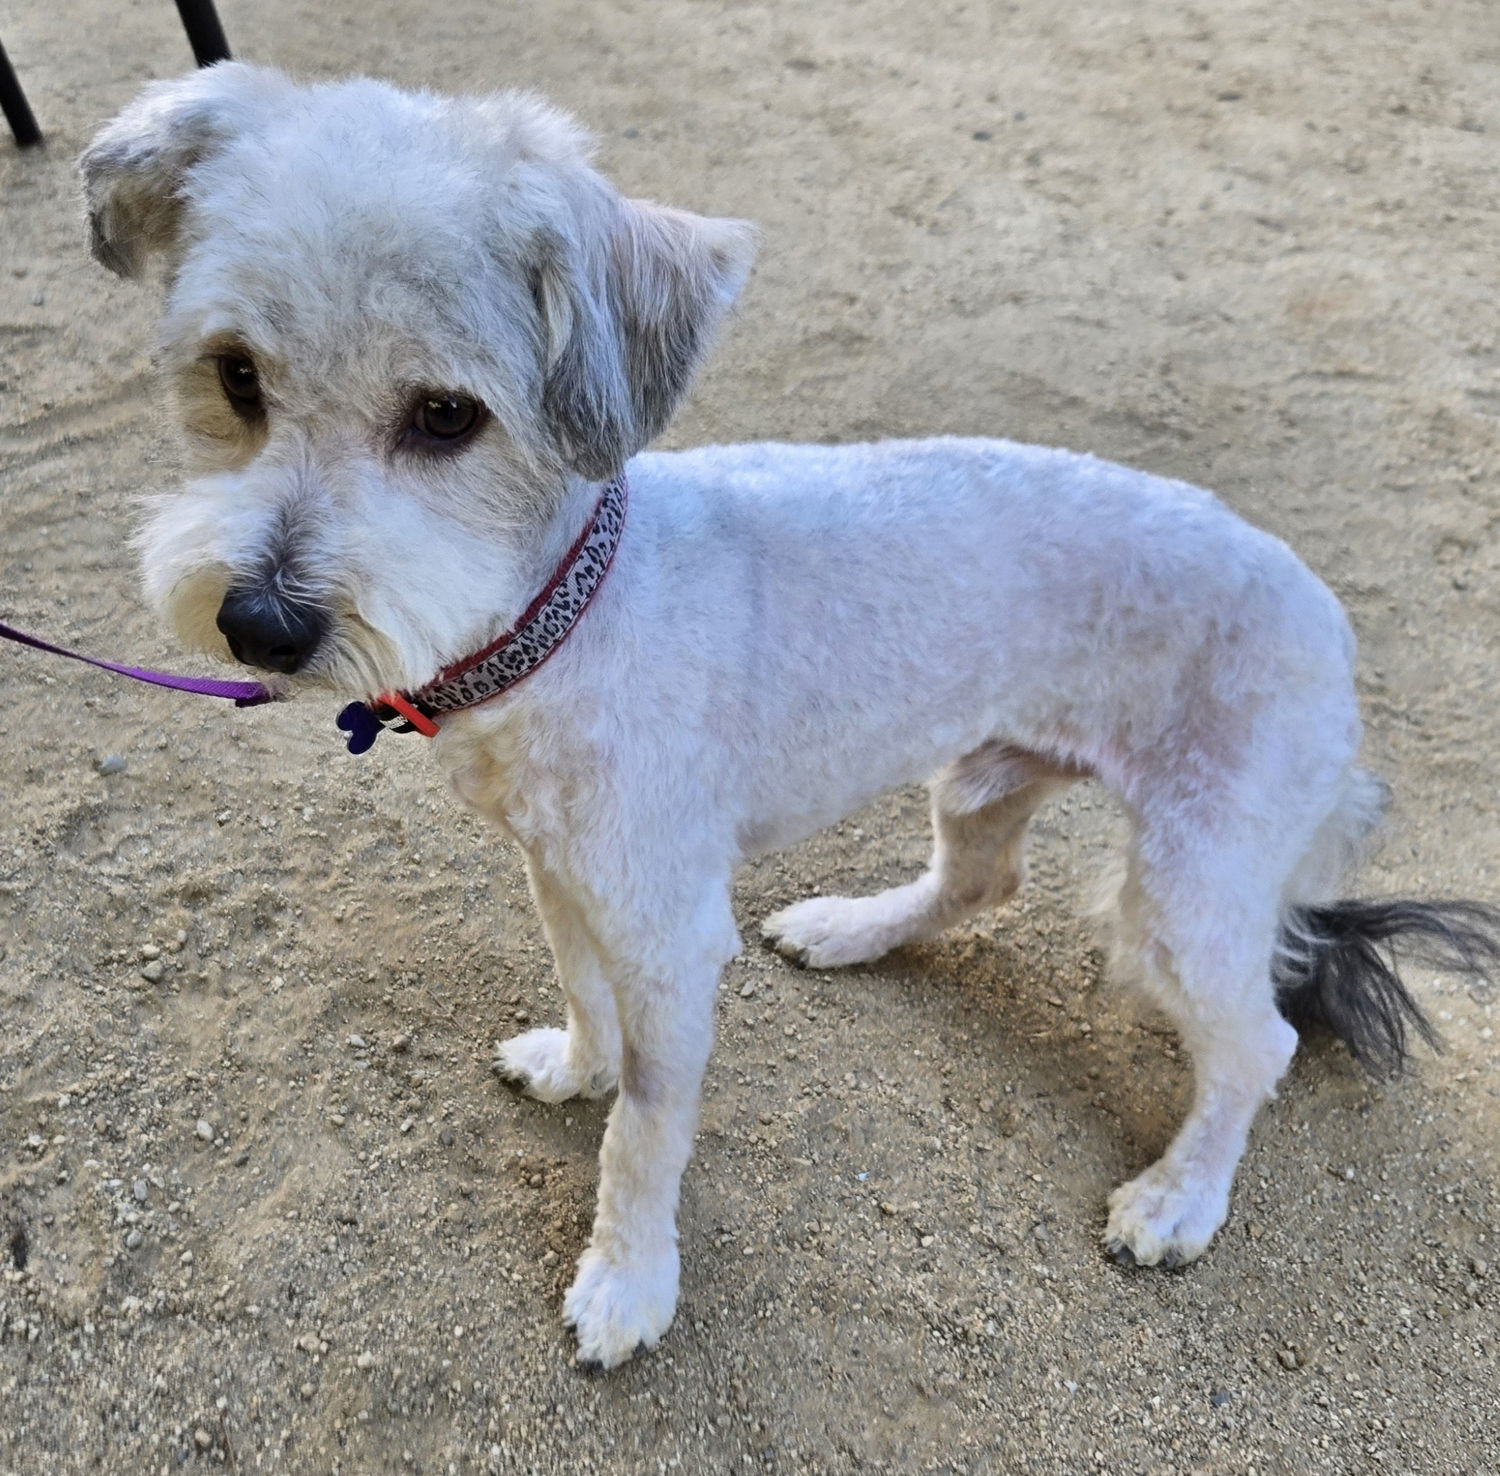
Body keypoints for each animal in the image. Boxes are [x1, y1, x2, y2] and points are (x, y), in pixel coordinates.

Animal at [85, 63, 1500, 1368]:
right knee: (976, 884)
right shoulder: (563, 872)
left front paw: (628, 1283)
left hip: (1189, 890)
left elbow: (646, 1133)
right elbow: (585, 999)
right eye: (236, 378)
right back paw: (850, 928)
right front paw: (576, 1066)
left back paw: (1179, 1199)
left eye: (445, 415)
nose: (260, 623)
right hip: (983, 775)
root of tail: (1325, 620)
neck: (577, 613)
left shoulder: (667, 934)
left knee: (1256, 1044)